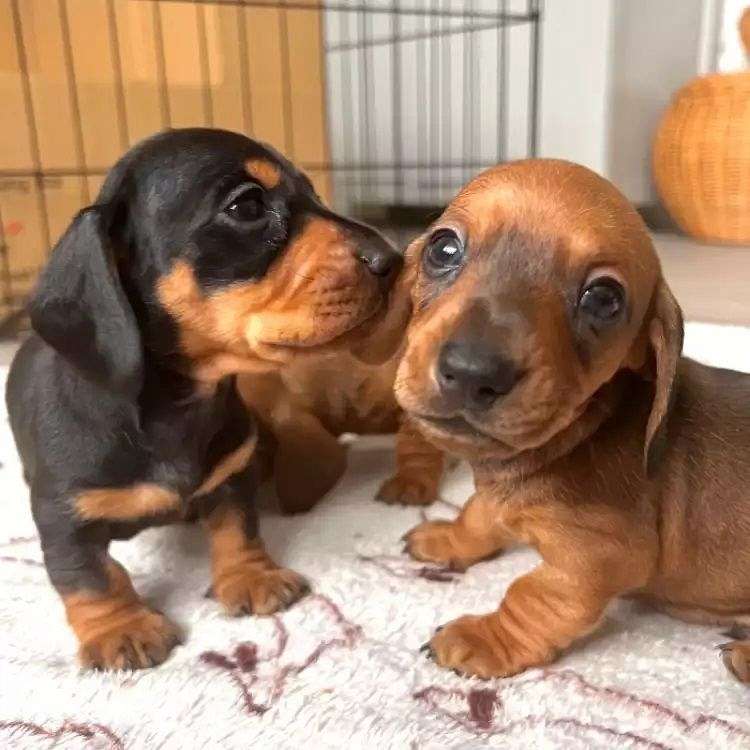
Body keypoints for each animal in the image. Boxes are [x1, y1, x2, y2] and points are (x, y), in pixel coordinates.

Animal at [7, 126, 406, 672]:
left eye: (314, 193)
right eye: (247, 206)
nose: (394, 260)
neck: (180, 407)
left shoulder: (231, 477)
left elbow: (237, 529)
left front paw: (252, 577)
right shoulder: (63, 515)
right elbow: (90, 576)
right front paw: (120, 628)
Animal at [402, 160, 750, 688]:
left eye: (603, 299)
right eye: (443, 248)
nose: (472, 371)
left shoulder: (600, 555)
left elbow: (532, 596)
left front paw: (483, 638)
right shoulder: (499, 500)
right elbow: (478, 516)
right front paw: (447, 538)